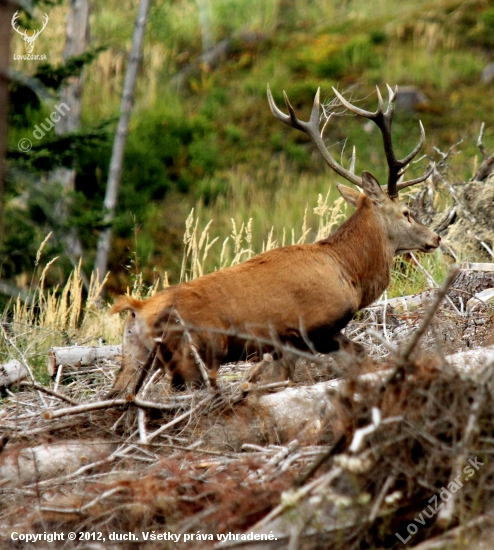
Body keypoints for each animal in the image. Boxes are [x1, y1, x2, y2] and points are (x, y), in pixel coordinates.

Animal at [108, 84, 440, 396]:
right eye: (407, 212)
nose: (435, 237)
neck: (349, 273)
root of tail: (137, 308)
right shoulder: (311, 329)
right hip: (188, 355)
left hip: (133, 357)